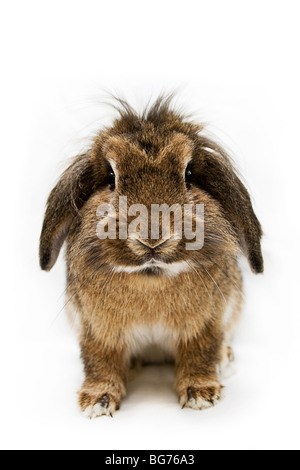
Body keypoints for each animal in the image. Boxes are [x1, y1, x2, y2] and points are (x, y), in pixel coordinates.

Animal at [39, 96, 262, 418]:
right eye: (111, 177)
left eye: (189, 174)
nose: (152, 237)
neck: (151, 277)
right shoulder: (97, 331)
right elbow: (100, 361)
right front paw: (97, 401)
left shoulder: (206, 326)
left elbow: (201, 353)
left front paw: (201, 395)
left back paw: (224, 359)